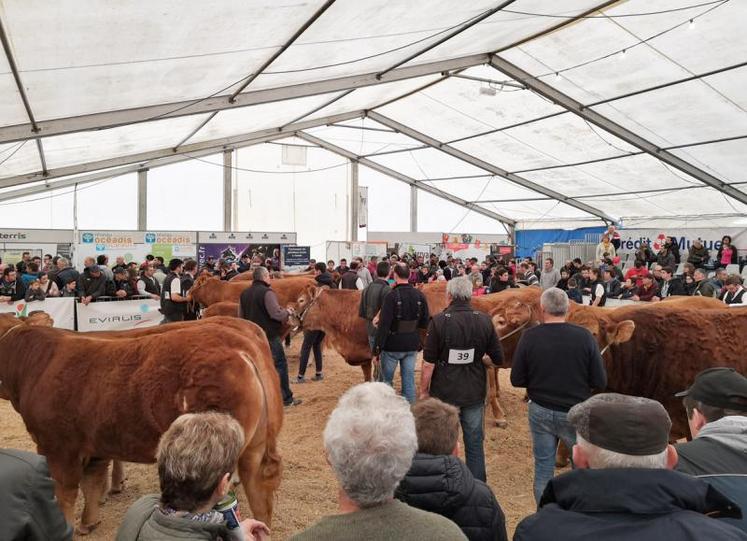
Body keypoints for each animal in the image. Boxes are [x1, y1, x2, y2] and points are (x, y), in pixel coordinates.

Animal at [0, 314, 284, 528]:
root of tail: (239, 346)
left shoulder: (58, 447)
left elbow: (65, 495)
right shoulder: (95, 443)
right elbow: (92, 481)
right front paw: (89, 521)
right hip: (254, 449)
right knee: (260, 494)